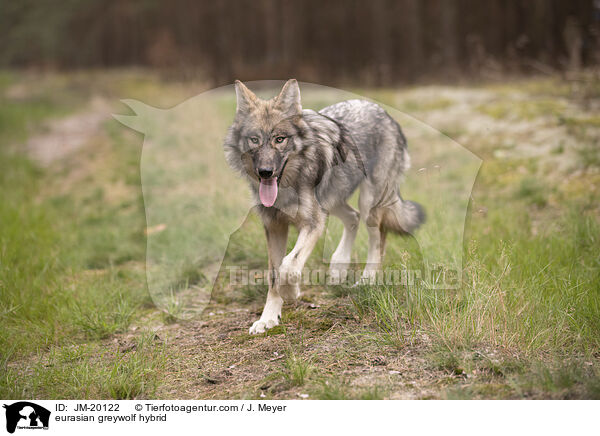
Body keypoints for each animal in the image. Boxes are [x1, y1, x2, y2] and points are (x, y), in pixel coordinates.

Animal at [223, 79, 424, 334]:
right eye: (254, 139)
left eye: (280, 139)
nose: (265, 172)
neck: (288, 184)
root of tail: (383, 112)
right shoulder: (274, 226)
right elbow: (273, 274)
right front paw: (268, 318)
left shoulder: (312, 224)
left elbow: (289, 264)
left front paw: (292, 292)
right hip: (333, 200)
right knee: (353, 218)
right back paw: (338, 267)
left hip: (367, 203)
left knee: (377, 238)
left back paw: (366, 279)